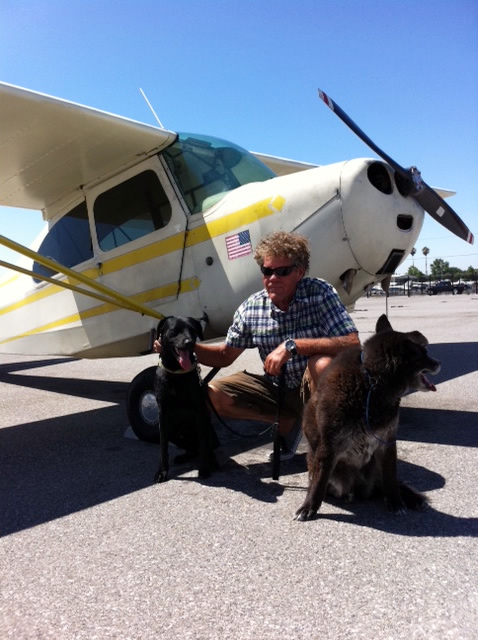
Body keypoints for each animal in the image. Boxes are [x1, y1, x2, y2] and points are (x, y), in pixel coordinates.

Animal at [154, 318, 218, 482]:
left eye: (193, 330)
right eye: (174, 330)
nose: (189, 342)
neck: (176, 372)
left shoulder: (200, 411)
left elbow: (203, 444)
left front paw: (204, 469)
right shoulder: (163, 414)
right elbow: (162, 447)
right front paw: (162, 472)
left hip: (208, 428)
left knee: (204, 448)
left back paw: (212, 460)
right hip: (173, 431)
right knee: (192, 449)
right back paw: (184, 457)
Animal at [296, 314, 440, 520]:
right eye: (422, 354)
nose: (439, 363)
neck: (372, 382)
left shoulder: (387, 443)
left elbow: (391, 478)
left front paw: (396, 502)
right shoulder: (329, 446)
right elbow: (319, 481)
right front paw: (308, 507)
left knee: (385, 485)